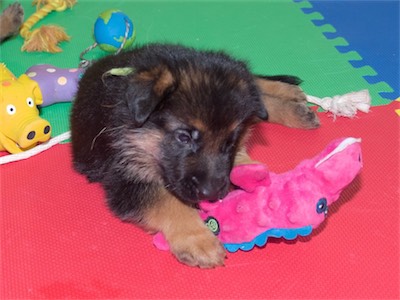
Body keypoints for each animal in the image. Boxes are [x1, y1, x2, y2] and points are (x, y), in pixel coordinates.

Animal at [69, 42, 318, 268]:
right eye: (184, 137)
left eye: (230, 141)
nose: (211, 194)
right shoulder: (124, 178)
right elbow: (168, 202)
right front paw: (197, 240)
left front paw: (245, 166)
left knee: (252, 83)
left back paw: (290, 99)